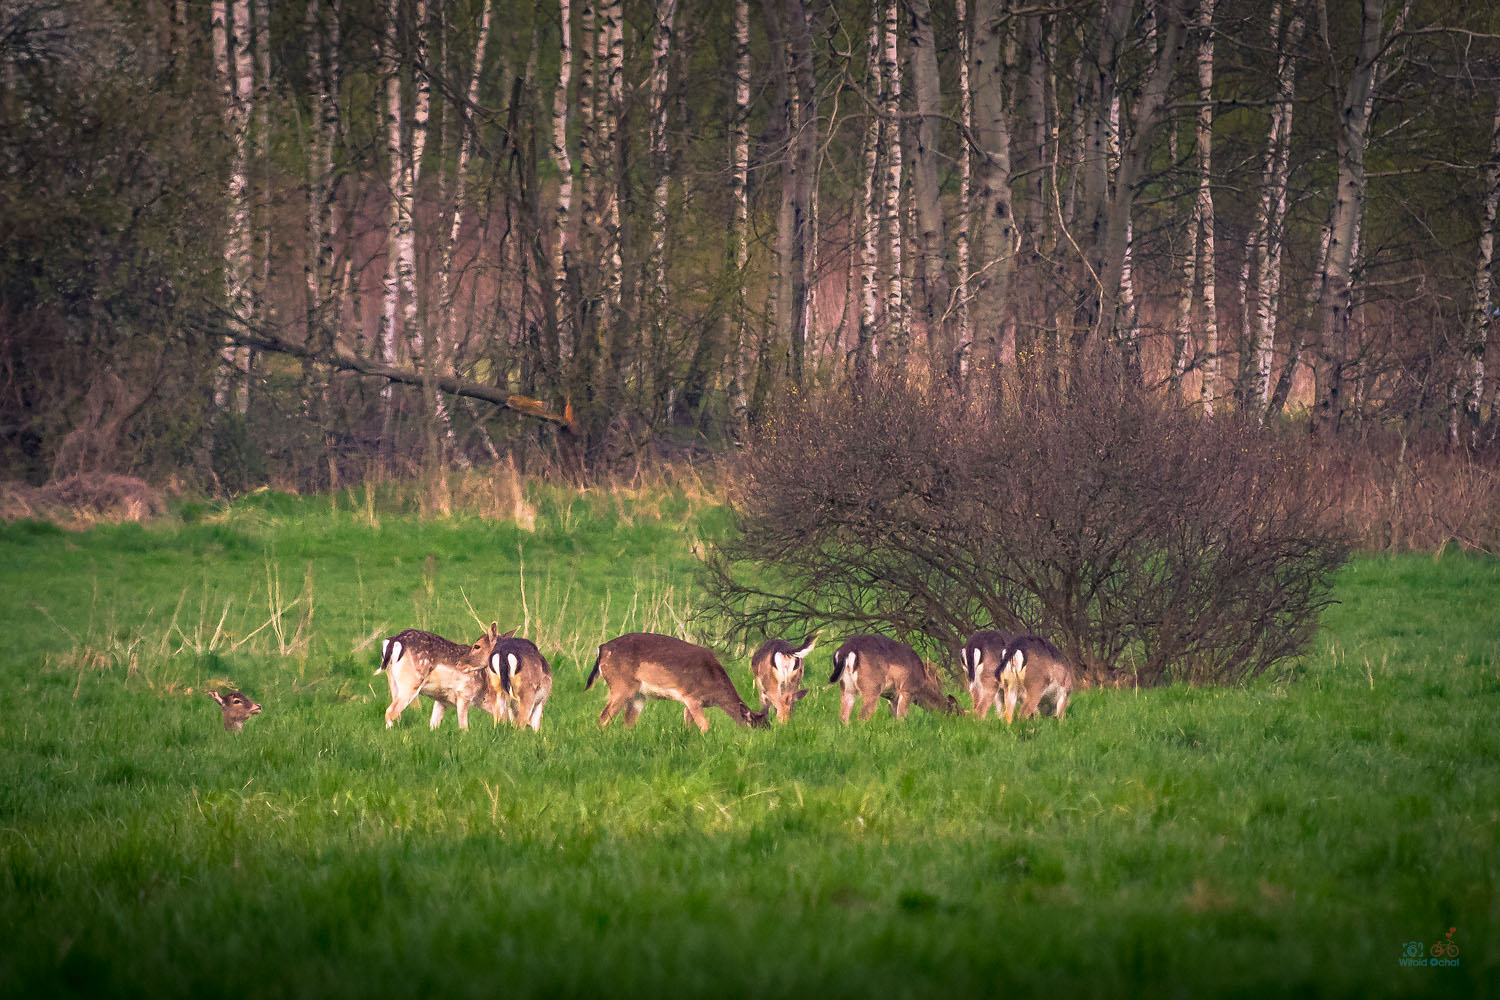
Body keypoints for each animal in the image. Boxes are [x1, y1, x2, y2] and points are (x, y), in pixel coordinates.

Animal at [376, 622, 513, 730]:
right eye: (476, 645)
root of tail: (393, 641)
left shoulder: (442, 700)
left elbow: (433, 725)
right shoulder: (463, 694)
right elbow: (464, 728)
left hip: (393, 681)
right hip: (411, 683)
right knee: (390, 712)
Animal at [585, 632, 770, 732]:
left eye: (768, 725)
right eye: (754, 726)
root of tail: (601, 649)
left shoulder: (689, 702)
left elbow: (688, 726)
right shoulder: (692, 696)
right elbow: (705, 726)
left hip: (638, 696)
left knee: (627, 723)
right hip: (621, 685)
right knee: (603, 717)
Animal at [828, 634, 959, 724]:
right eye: (954, 712)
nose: (953, 724)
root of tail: (845, 651)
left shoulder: (891, 697)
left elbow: (895, 716)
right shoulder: (907, 689)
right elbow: (902, 718)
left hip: (847, 687)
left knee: (843, 716)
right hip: (872, 687)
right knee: (863, 716)